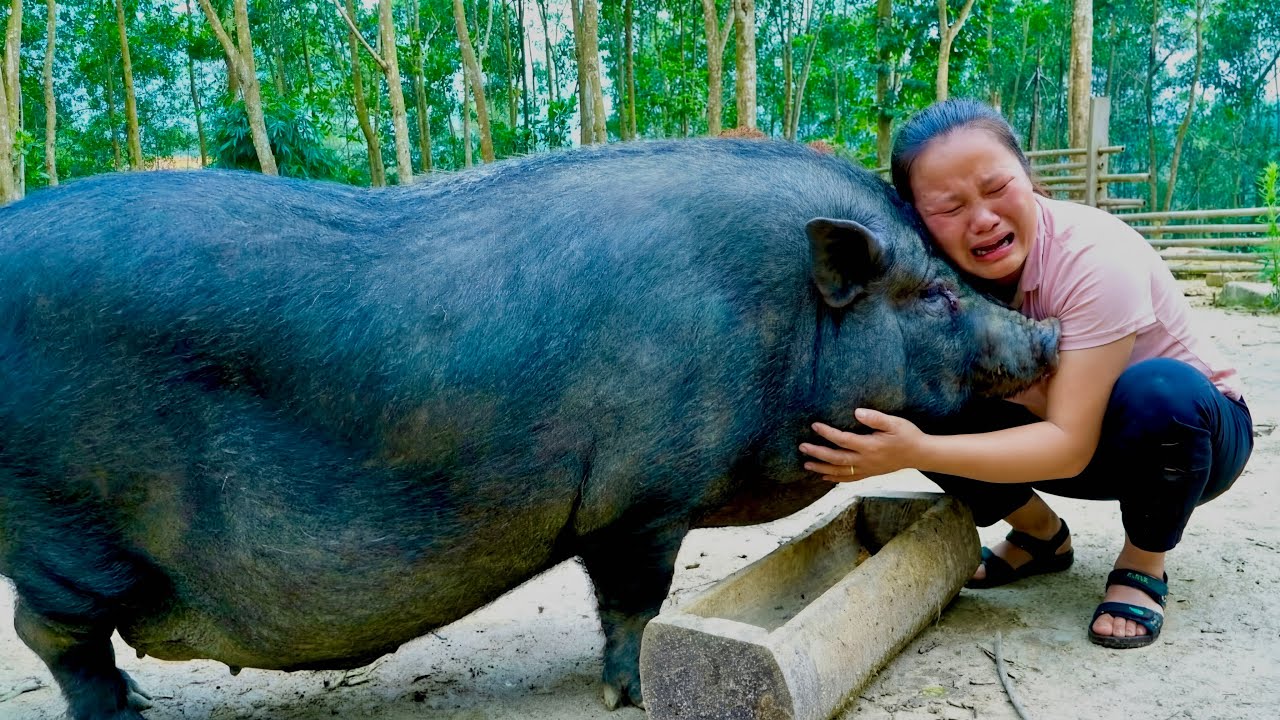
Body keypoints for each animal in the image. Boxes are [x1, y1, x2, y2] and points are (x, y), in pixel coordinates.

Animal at [0, 139, 1059, 719]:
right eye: (931, 293)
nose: (1047, 333)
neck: (773, 313)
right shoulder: (642, 494)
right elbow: (636, 597)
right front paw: (631, 697)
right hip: (61, 530)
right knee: (46, 630)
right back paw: (127, 715)